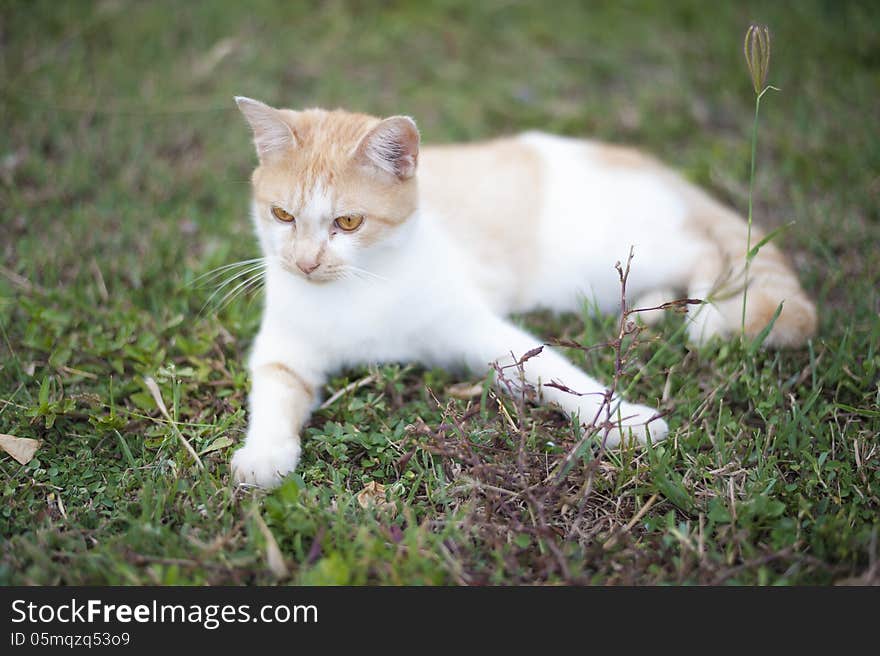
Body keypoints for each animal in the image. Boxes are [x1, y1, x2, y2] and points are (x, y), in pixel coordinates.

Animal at [227, 96, 820, 486]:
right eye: (282, 215)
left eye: (347, 222)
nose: (304, 262)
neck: (359, 287)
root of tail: (647, 163)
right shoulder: (282, 350)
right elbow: (274, 394)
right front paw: (265, 454)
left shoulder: (477, 329)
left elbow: (556, 371)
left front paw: (623, 421)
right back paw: (647, 311)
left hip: (615, 255)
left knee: (709, 252)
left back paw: (703, 313)